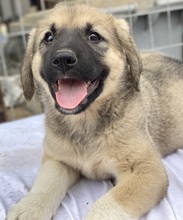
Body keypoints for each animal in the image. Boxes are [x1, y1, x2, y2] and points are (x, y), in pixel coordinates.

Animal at [6, 3, 183, 220]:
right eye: (48, 37)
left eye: (94, 37)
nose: (63, 59)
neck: (84, 125)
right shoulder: (56, 160)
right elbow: (44, 185)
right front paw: (29, 208)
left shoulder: (146, 170)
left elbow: (106, 205)